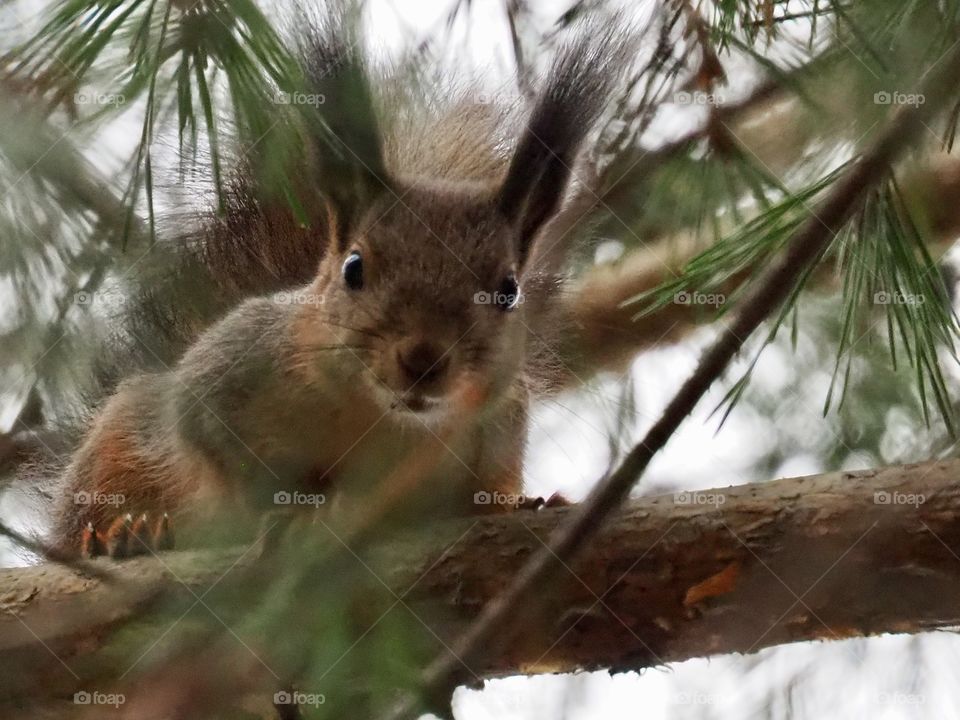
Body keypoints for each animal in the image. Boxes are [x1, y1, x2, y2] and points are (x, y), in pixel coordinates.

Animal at [48, 12, 683, 557]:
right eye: (354, 268)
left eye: (509, 290)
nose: (424, 359)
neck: (377, 417)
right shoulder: (225, 372)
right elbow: (218, 447)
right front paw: (302, 506)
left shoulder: (499, 418)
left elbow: (490, 485)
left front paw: (519, 504)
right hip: (118, 443)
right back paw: (132, 535)